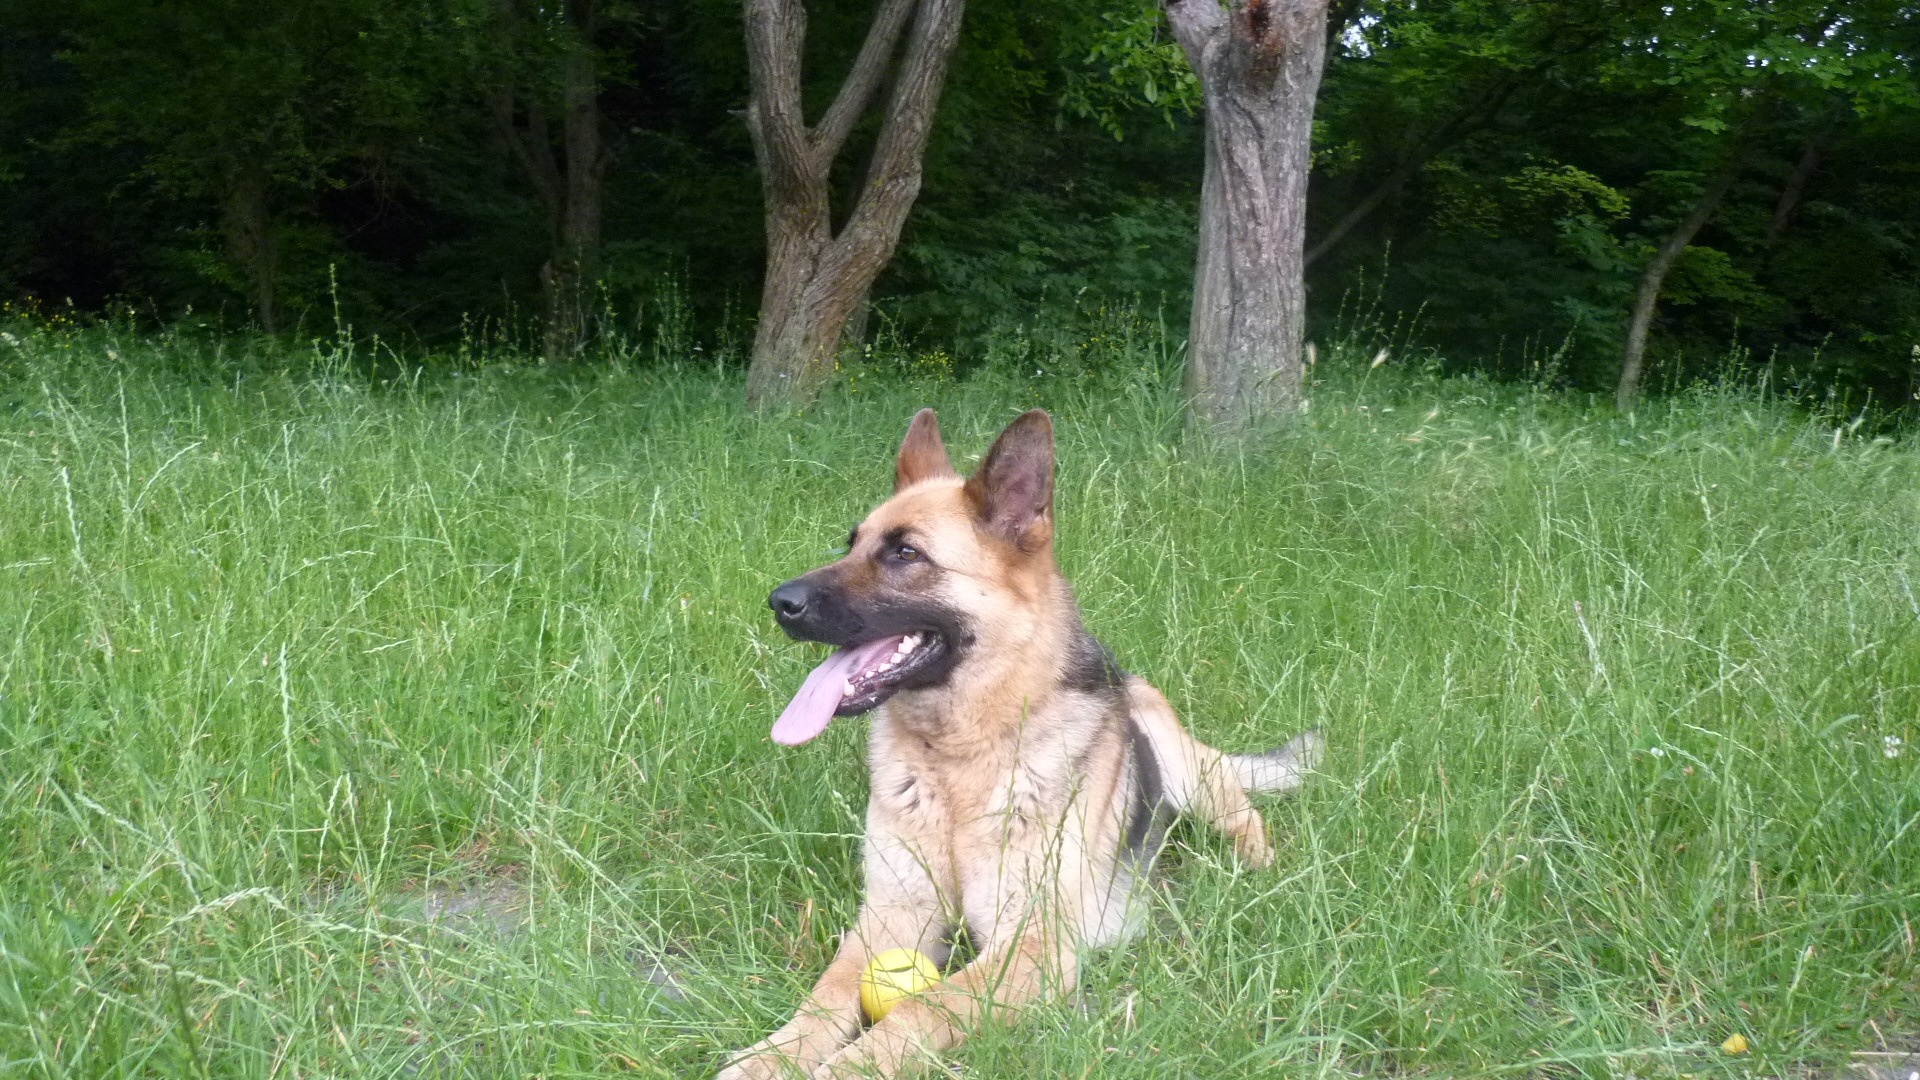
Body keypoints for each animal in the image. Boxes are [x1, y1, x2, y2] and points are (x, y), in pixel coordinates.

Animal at [721, 407, 1320, 1068]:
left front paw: (851, 1066)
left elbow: (918, 1008)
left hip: (1189, 776)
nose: (779, 601)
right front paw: (768, 1058)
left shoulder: (1030, 949)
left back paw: (1252, 870)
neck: (960, 758)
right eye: (850, 543)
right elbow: (825, 998)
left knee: (1243, 814)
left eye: (905, 553)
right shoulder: (887, 919)